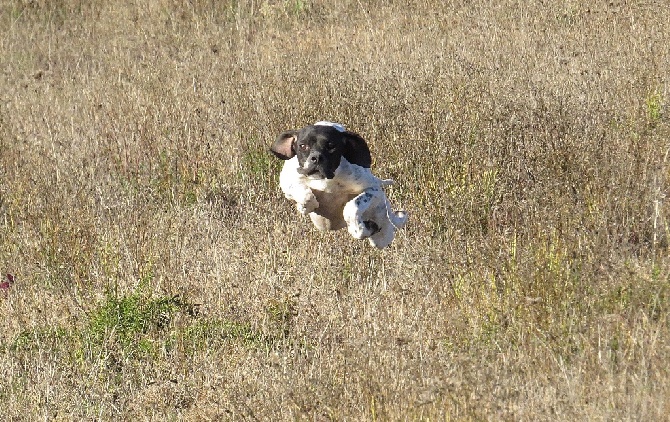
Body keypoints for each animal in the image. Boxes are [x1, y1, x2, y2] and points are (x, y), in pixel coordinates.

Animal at [270, 120, 406, 249]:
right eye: (303, 146)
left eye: (331, 146)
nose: (316, 158)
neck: (326, 181)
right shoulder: (287, 181)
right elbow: (305, 195)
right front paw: (305, 205)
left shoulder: (374, 190)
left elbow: (352, 206)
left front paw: (361, 228)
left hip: (382, 236)